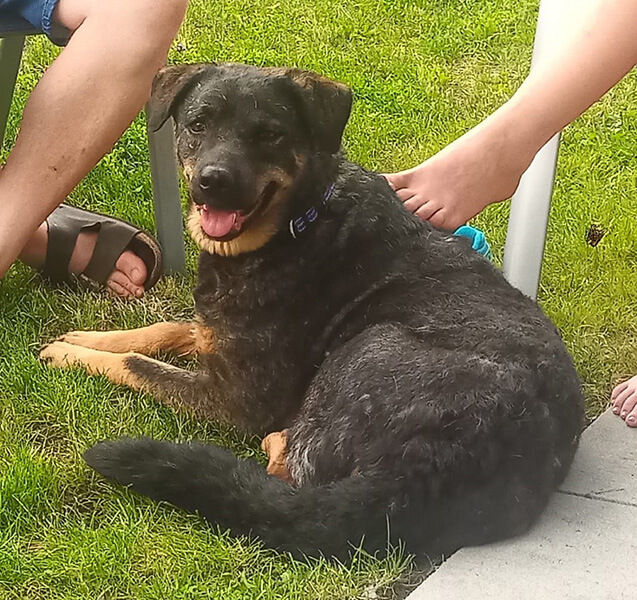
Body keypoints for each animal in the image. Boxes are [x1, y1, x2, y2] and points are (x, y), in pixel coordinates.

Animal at [41, 63, 584, 561]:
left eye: (270, 135)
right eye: (198, 124)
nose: (213, 182)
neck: (299, 222)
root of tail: (427, 466)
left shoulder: (235, 398)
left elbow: (140, 365)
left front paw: (72, 356)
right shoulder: (217, 335)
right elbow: (164, 329)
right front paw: (85, 338)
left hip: (368, 345)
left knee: (290, 471)